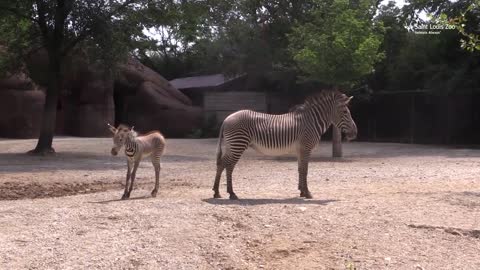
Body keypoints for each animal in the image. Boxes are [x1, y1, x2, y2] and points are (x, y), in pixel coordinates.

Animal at [213, 89, 356, 199]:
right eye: (345, 112)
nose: (355, 133)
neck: (311, 121)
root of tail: (226, 119)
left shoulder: (300, 150)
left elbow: (300, 169)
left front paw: (302, 191)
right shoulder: (306, 148)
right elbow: (305, 170)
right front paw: (307, 193)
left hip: (232, 146)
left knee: (221, 164)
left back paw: (217, 192)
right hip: (238, 144)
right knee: (229, 166)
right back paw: (231, 193)